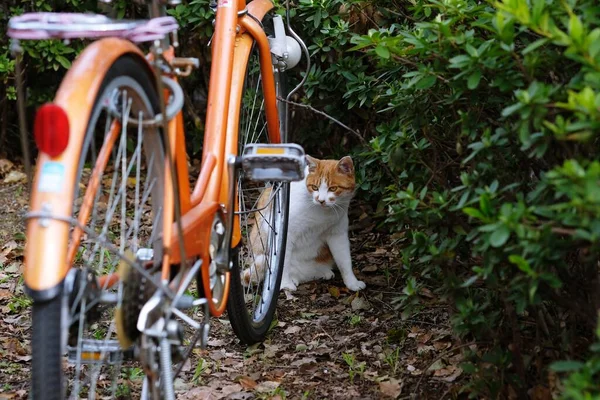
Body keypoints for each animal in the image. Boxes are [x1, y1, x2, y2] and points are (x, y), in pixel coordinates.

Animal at [244, 155, 366, 290]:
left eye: (333, 188)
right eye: (314, 187)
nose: (321, 200)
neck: (322, 213)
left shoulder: (338, 235)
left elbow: (345, 261)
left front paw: (352, 282)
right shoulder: (286, 234)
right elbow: (283, 262)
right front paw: (285, 283)